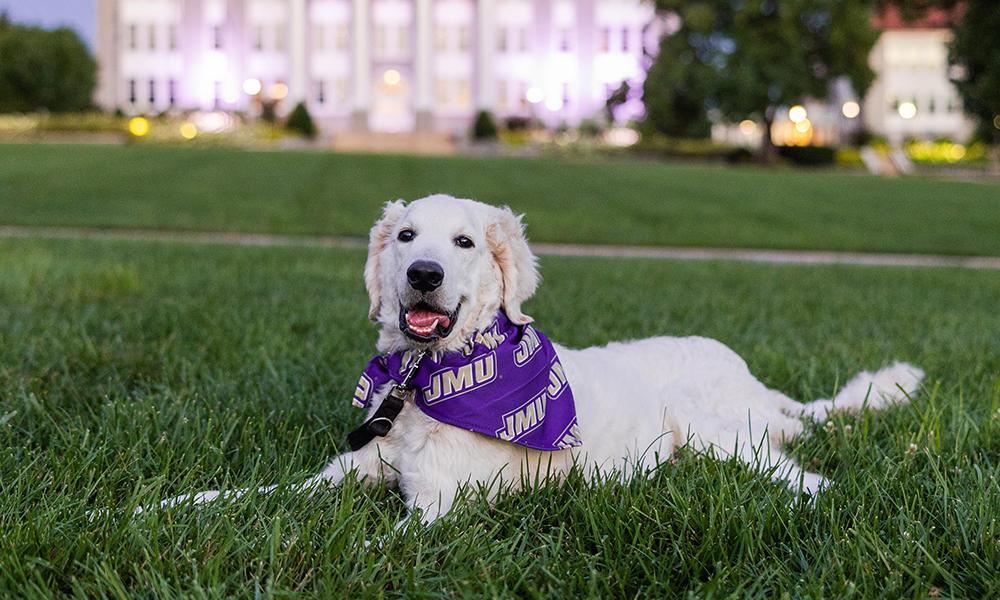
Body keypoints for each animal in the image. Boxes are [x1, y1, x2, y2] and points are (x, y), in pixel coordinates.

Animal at [152, 195, 924, 528]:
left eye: (464, 242)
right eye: (406, 236)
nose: (425, 274)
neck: (429, 381)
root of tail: (750, 376)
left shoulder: (436, 507)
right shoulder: (343, 474)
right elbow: (243, 496)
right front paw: (149, 509)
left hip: (721, 434)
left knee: (812, 480)